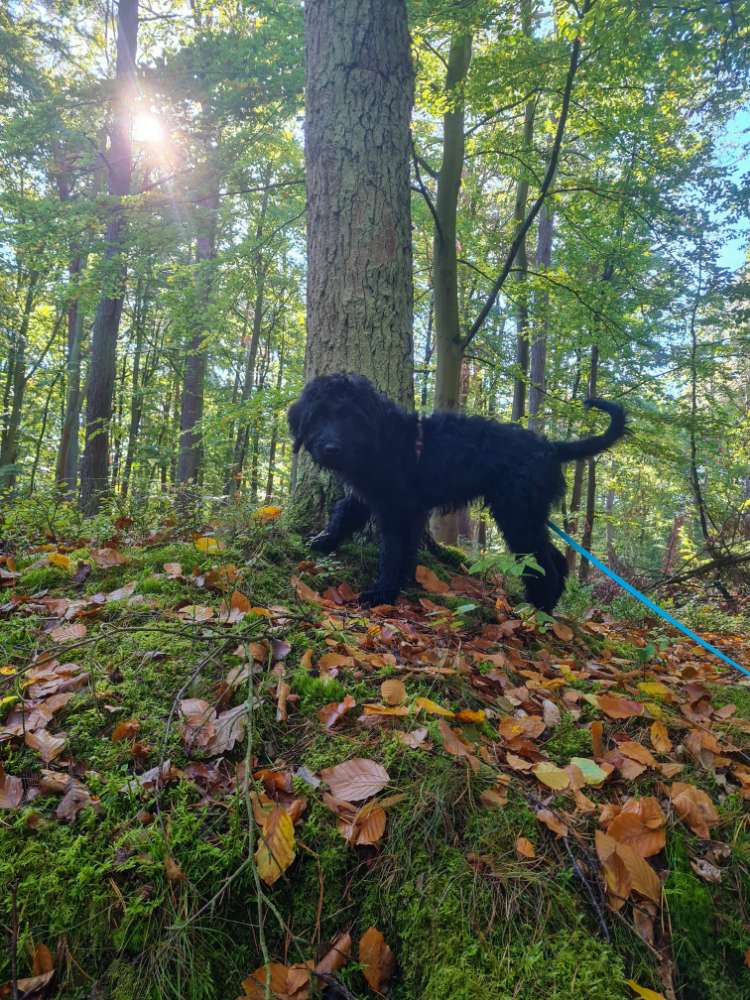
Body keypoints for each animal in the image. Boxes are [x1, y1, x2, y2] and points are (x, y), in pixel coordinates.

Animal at [290, 374, 628, 608]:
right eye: (319, 415)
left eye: (351, 417)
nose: (331, 448)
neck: (383, 438)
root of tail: (551, 447)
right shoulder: (370, 496)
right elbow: (345, 515)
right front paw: (323, 541)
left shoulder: (399, 508)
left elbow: (393, 550)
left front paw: (383, 592)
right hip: (529, 515)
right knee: (554, 558)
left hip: (517, 515)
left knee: (543, 562)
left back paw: (539, 607)